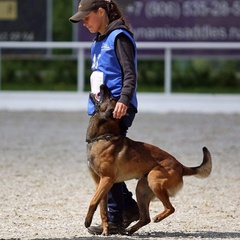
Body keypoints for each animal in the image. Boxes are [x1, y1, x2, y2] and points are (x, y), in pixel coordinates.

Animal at [84, 83, 212, 235]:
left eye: (110, 98)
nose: (103, 84)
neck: (103, 136)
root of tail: (181, 166)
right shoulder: (100, 183)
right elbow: (102, 209)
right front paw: (105, 230)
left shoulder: (107, 180)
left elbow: (92, 202)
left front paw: (87, 221)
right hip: (142, 189)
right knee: (145, 218)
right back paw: (130, 229)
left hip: (154, 180)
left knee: (170, 208)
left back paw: (158, 217)